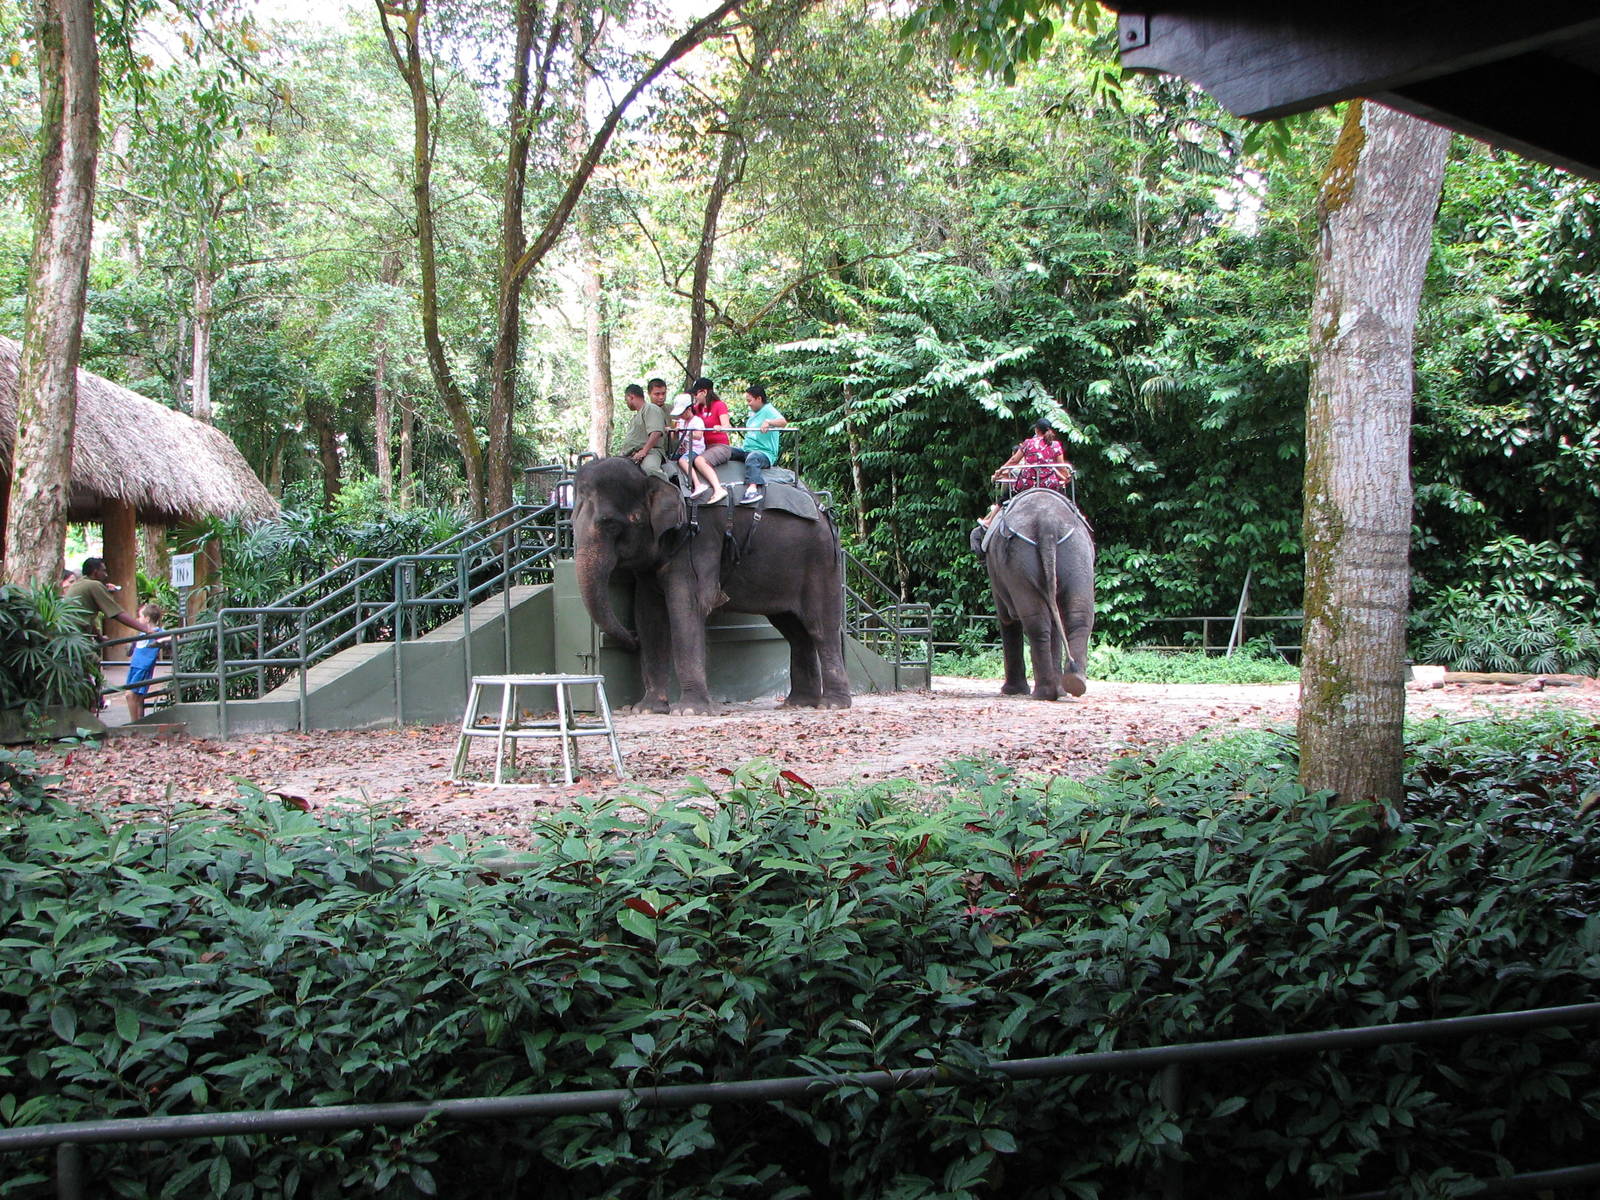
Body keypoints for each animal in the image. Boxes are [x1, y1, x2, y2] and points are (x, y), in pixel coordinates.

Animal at [572, 456, 851, 714]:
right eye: (571, 522)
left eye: (610, 524)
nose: (631, 640)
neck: (655, 476)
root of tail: (823, 506)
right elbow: (648, 615)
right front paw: (647, 709)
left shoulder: (700, 537)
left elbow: (689, 606)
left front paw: (689, 711)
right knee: (794, 630)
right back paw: (799, 704)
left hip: (821, 560)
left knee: (821, 627)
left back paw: (832, 705)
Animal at [970, 488, 1095, 700]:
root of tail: (1047, 523)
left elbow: (1006, 617)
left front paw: (1011, 691)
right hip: (1077, 553)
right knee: (1078, 616)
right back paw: (1073, 684)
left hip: (1019, 561)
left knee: (1035, 621)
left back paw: (1044, 693)